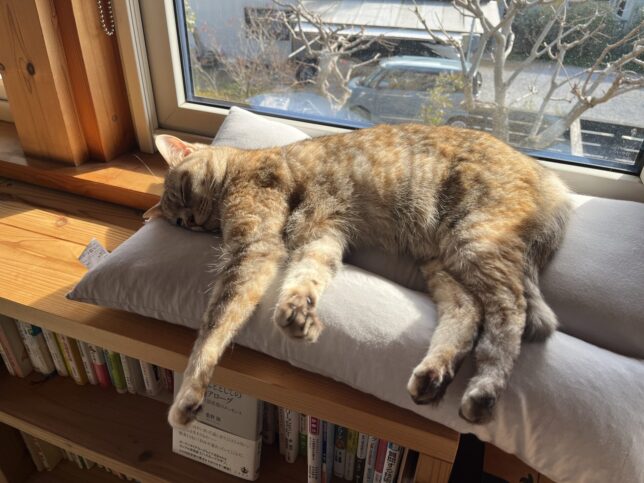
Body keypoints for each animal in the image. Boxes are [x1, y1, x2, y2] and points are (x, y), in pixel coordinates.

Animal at [145, 123, 571, 427]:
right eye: (178, 221)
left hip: (474, 241)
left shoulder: (255, 247)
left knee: (509, 313)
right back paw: (433, 373)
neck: (240, 167)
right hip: (443, 262)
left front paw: (188, 394)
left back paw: (483, 389)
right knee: (468, 312)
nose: (190, 222)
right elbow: (307, 276)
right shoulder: (322, 235)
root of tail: (550, 179)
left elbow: (215, 325)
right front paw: (298, 315)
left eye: (182, 191)